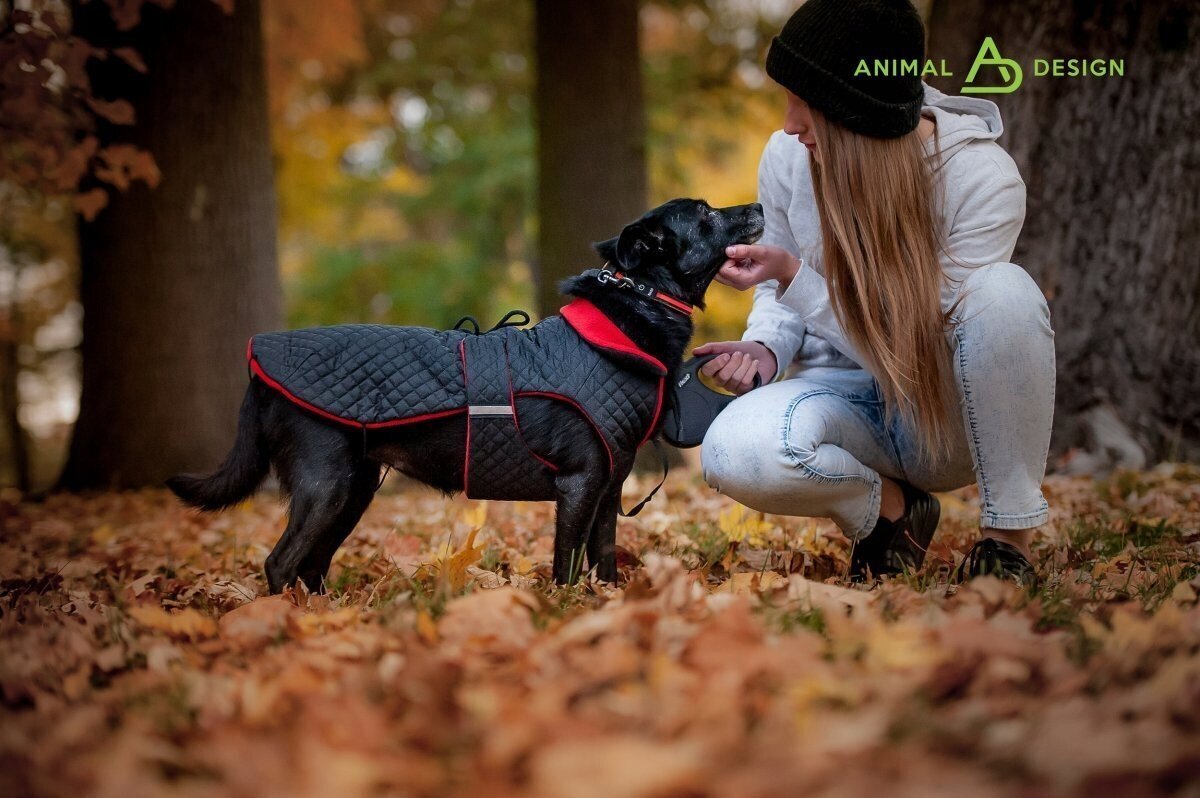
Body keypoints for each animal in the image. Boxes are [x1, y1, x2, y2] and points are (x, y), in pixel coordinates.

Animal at [165, 195, 763, 588]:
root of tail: (258, 362)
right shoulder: (580, 483)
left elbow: (606, 559)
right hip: (325, 484)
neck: (631, 314)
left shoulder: (610, 486)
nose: (758, 204)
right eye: (706, 214)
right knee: (282, 562)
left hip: (354, 489)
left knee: (311, 565)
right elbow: (567, 566)